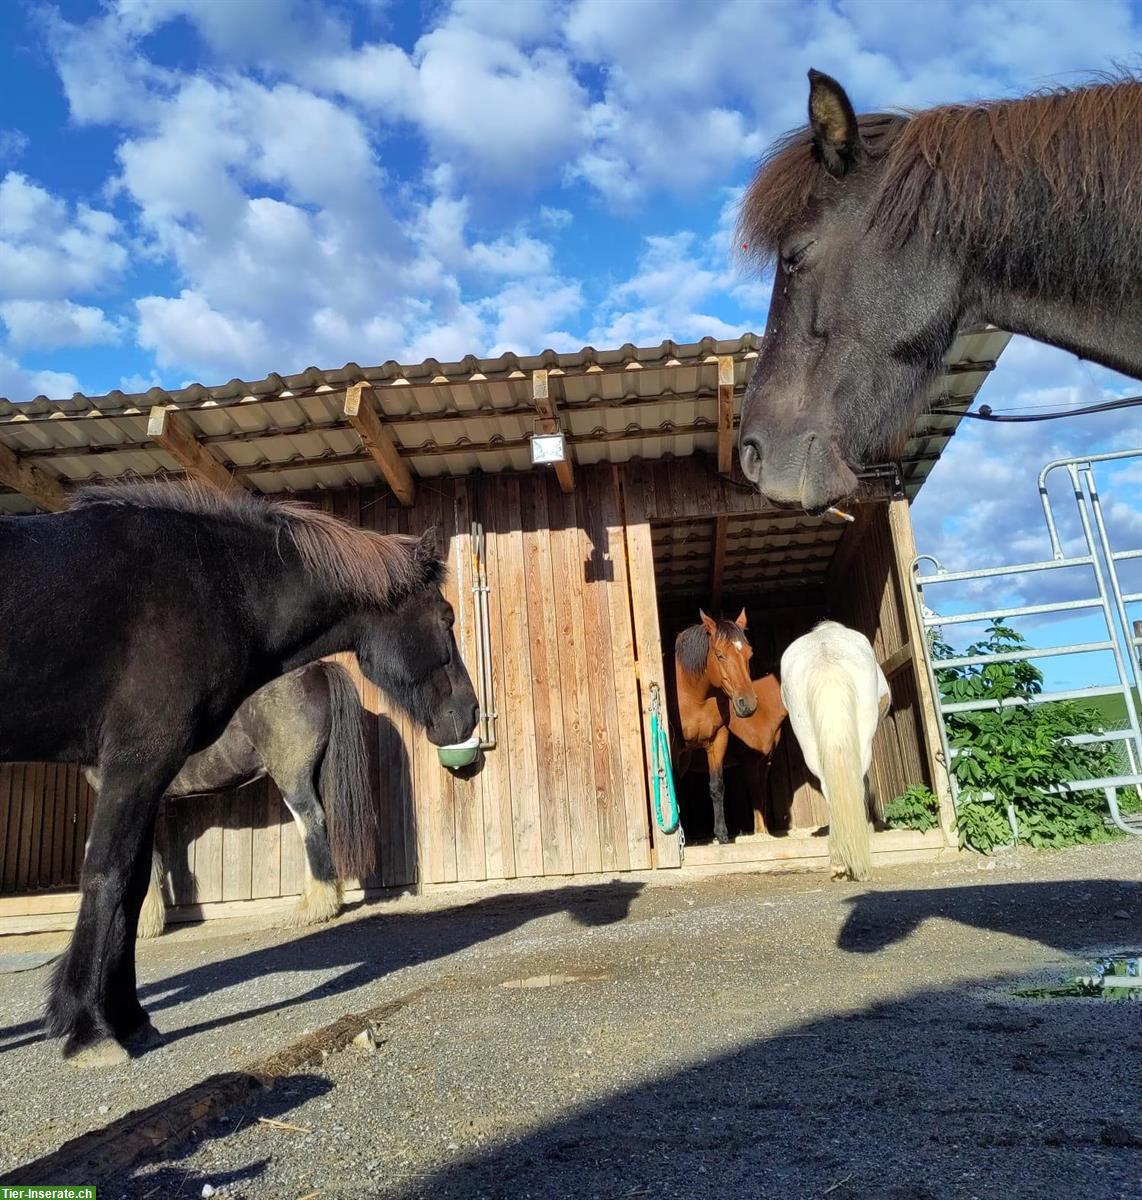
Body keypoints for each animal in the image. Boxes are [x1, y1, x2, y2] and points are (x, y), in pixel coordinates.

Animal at [676, 609, 786, 844]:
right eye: (719, 655)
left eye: (749, 654)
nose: (747, 704)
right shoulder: (750, 761)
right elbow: (756, 795)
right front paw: (760, 833)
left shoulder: (754, 757)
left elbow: (723, 787)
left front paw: (724, 834)